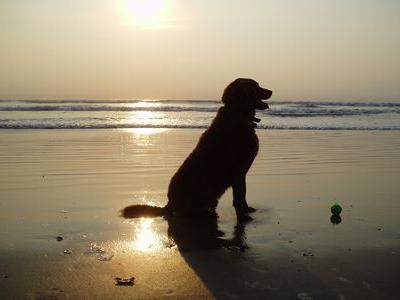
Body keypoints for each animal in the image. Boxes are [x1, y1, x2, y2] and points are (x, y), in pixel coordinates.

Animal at [122, 78, 272, 221]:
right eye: (256, 86)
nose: (271, 91)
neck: (238, 113)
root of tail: (169, 203)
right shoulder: (238, 171)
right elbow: (238, 198)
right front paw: (242, 217)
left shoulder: (242, 172)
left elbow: (243, 193)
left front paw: (246, 210)